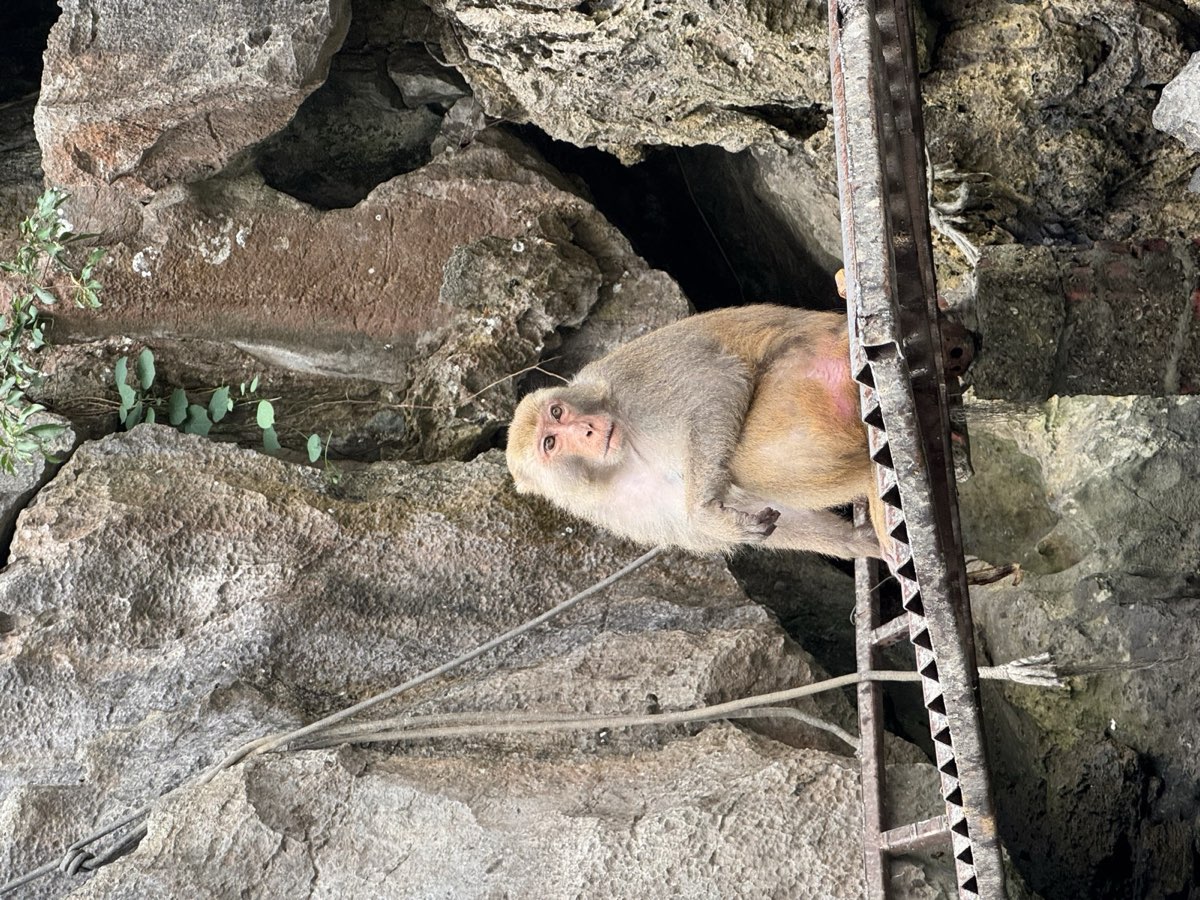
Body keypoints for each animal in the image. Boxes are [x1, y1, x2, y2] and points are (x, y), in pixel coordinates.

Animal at [506, 305, 884, 560]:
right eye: (550, 443)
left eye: (557, 412)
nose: (587, 430)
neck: (625, 459)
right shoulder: (625, 511)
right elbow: (775, 513)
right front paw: (859, 542)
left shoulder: (629, 388)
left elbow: (717, 380)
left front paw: (703, 513)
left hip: (813, 371)